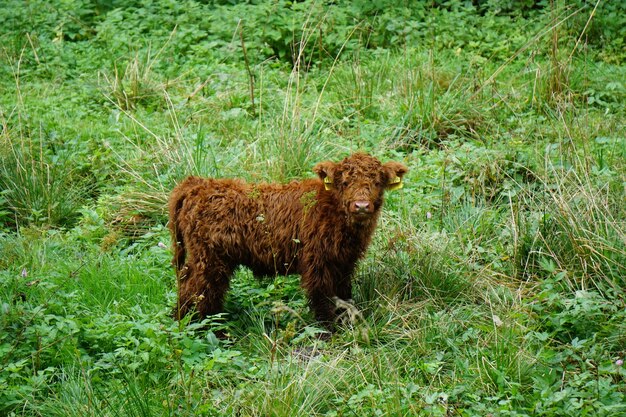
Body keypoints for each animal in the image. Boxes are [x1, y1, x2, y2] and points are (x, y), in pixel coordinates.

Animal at [168, 153, 408, 328]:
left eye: (377, 182)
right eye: (345, 182)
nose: (361, 206)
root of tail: (199, 184)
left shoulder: (345, 263)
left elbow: (343, 295)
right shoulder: (317, 262)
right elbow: (322, 298)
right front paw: (328, 332)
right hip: (209, 260)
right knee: (199, 293)